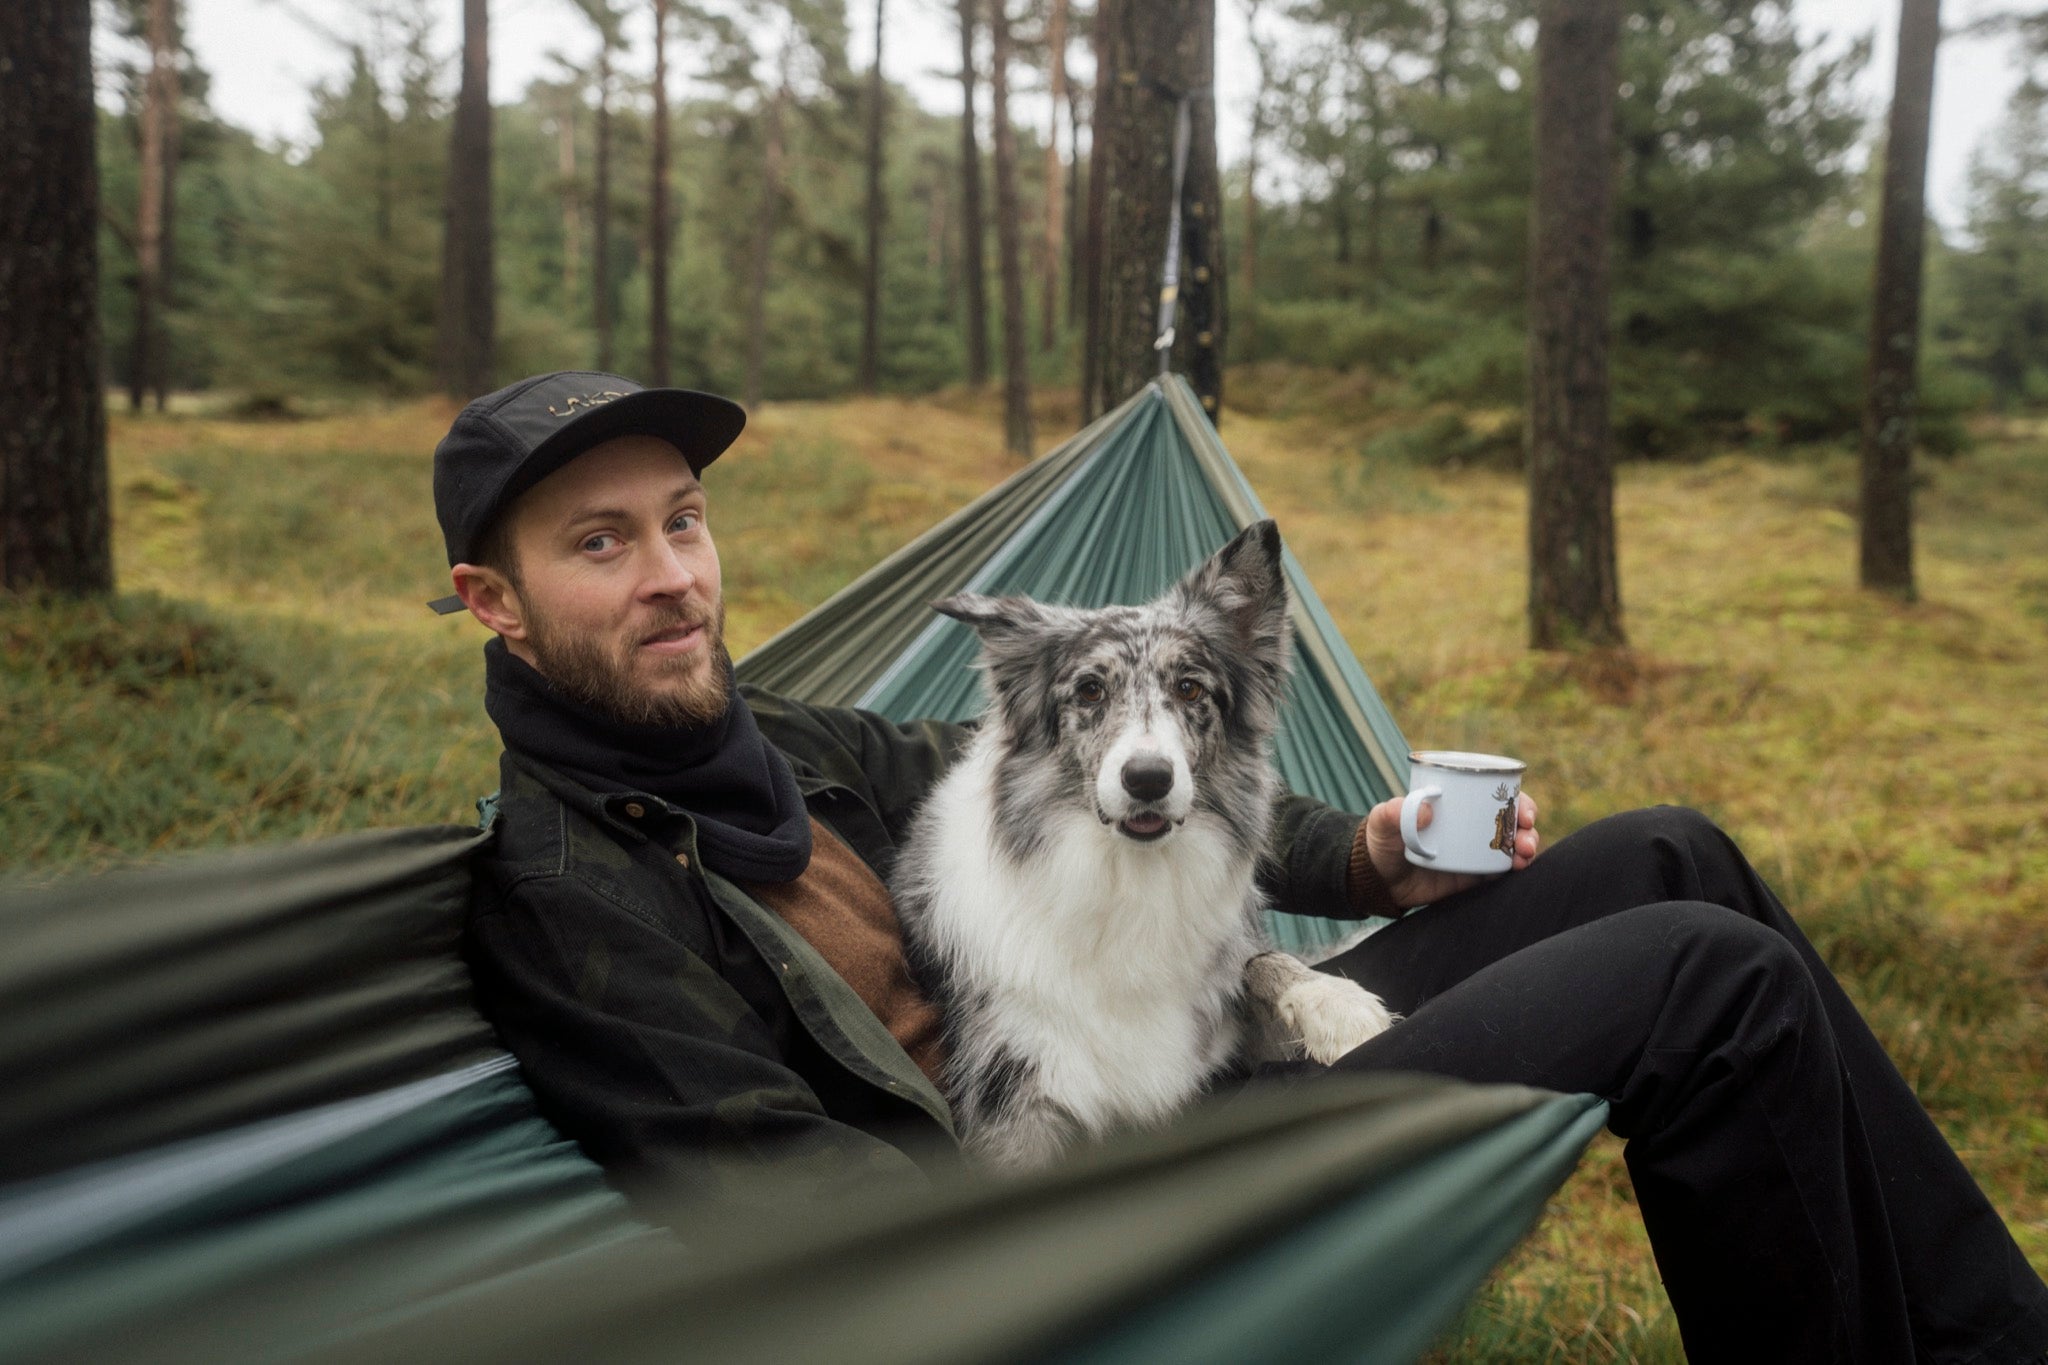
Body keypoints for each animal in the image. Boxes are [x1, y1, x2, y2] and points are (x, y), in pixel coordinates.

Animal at [901, 517, 1400, 1170]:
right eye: (1090, 690)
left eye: (1189, 689)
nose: (1147, 779)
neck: (1127, 876)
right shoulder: (1014, 1098)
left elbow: (1258, 959)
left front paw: (1333, 1003)